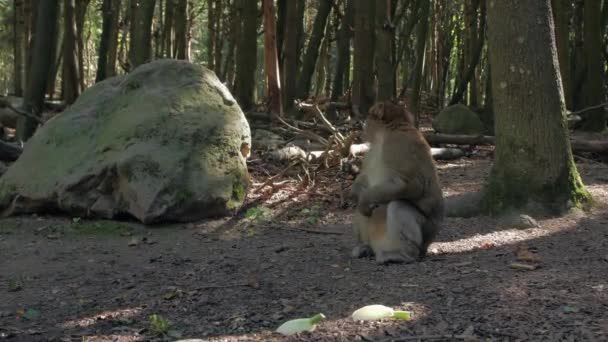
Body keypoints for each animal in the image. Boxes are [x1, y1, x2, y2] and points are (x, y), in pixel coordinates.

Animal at [350, 100, 444, 264]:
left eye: (369, 116)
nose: (363, 126)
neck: (383, 136)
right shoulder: (371, 152)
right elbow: (364, 178)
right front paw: (352, 191)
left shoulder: (399, 143)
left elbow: (410, 185)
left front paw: (364, 199)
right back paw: (364, 247)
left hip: (425, 232)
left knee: (398, 206)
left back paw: (404, 254)